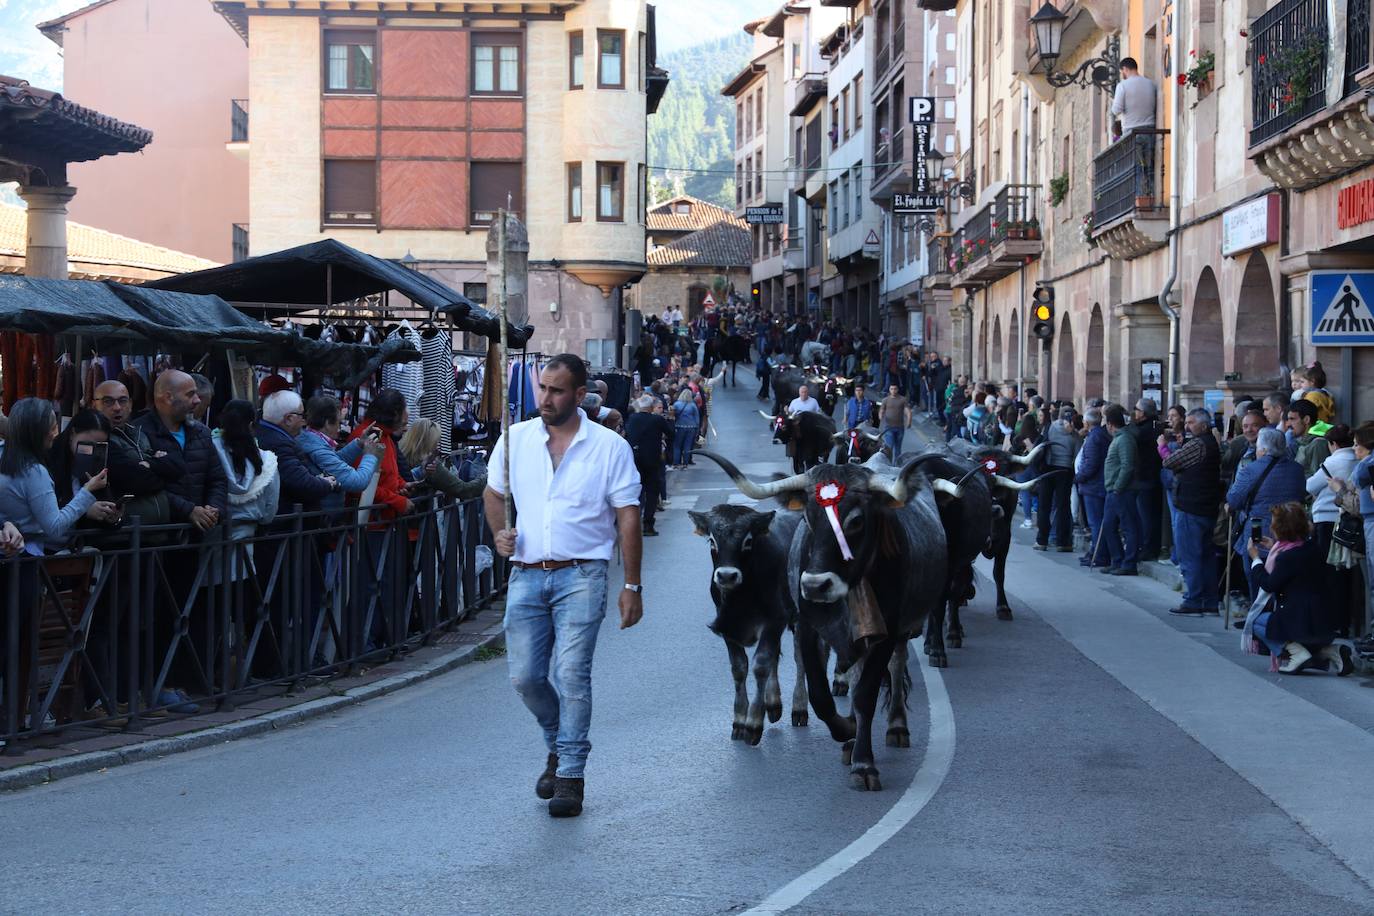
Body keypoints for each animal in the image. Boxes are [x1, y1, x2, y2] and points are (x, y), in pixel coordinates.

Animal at [692, 447, 961, 791]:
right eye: (808, 516)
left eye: (856, 520)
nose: (815, 585)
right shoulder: (806, 625)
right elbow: (819, 693)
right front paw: (845, 729)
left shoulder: (885, 631)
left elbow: (866, 694)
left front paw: (864, 763)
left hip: (901, 628)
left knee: (896, 666)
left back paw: (896, 727)